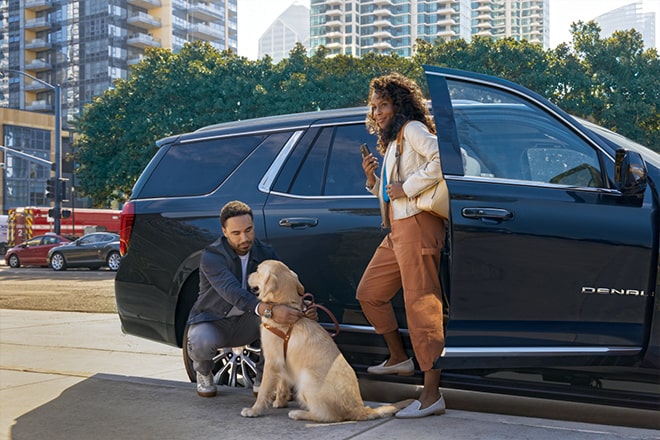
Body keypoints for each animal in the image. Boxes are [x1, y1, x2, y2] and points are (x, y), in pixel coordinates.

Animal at [240, 262, 410, 422]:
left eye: (258, 270)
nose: (248, 274)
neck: (285, 306)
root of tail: (360, 409)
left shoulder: (272, 361)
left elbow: (263, 390)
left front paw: (254, 410)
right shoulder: (281, 361)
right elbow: (282, 384)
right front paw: (280, 402)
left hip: (306, 379)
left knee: (328, 417)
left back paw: (299, 413)